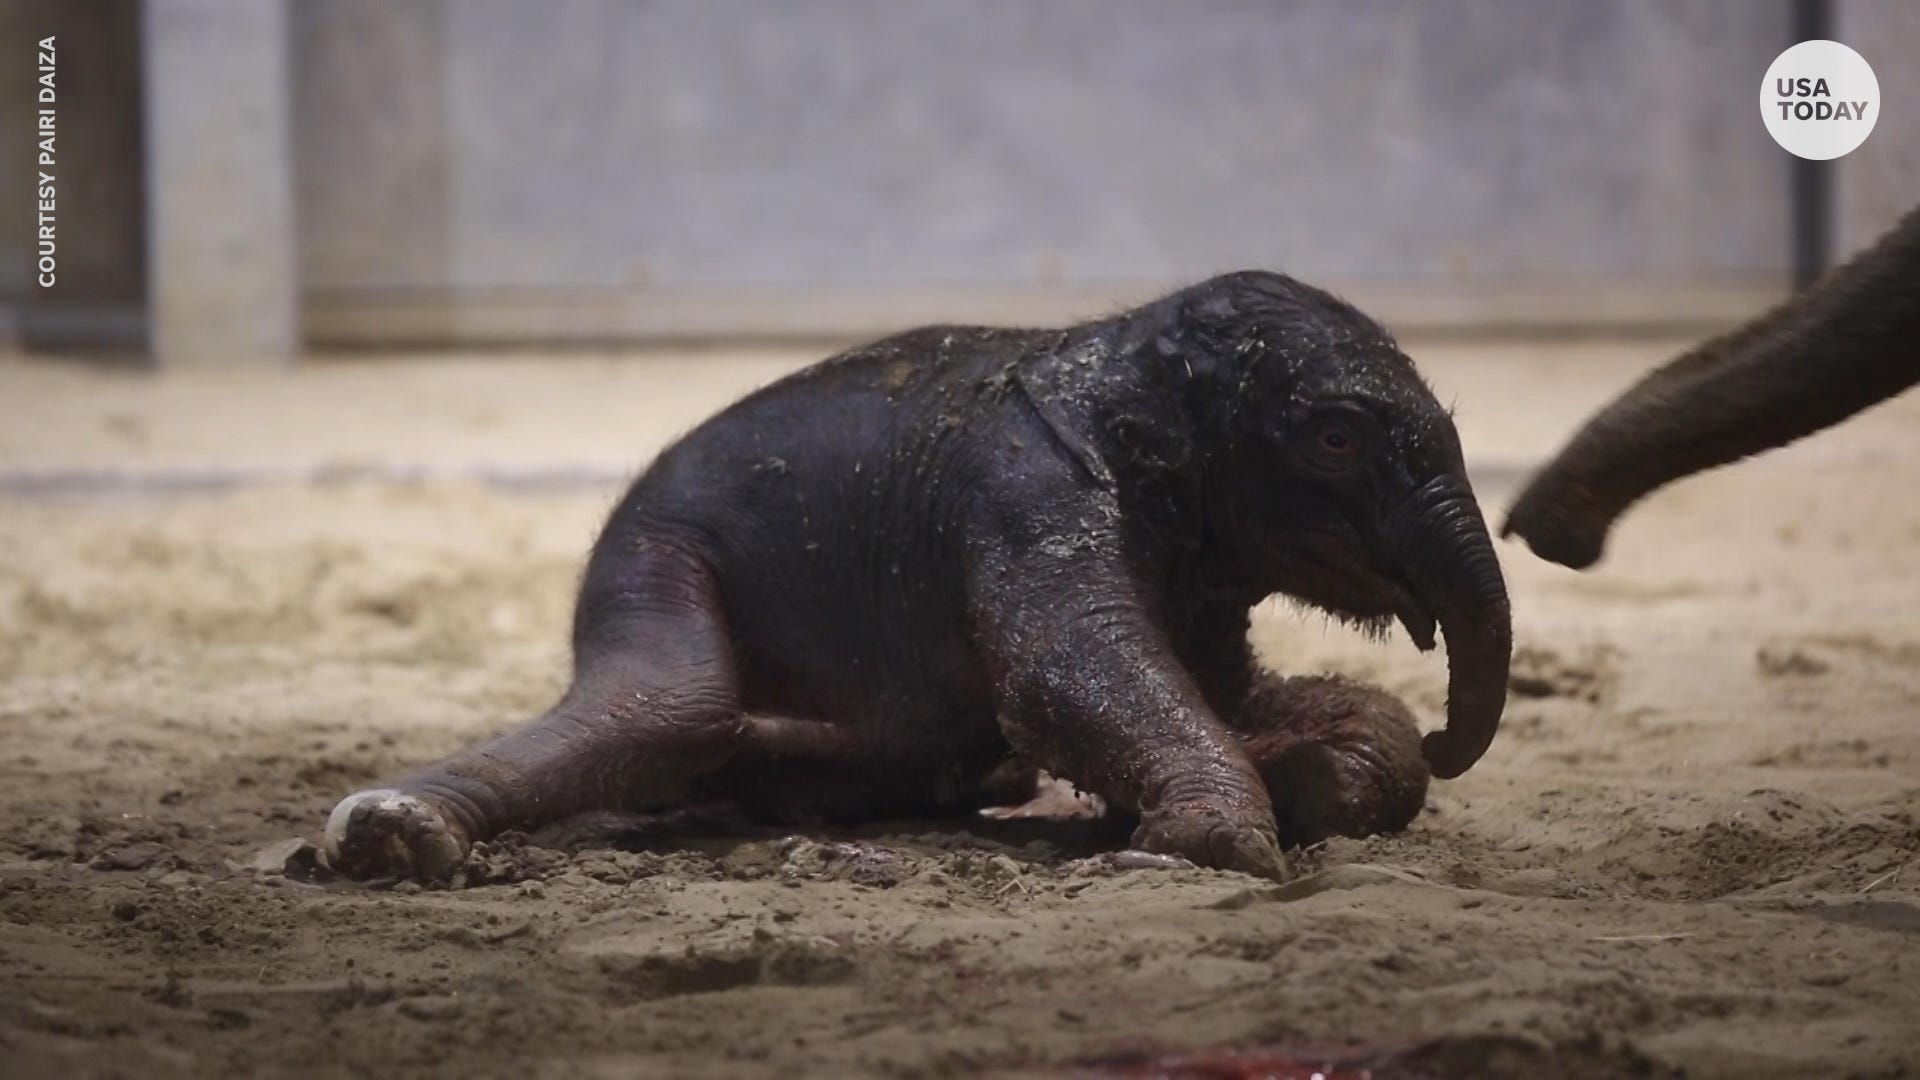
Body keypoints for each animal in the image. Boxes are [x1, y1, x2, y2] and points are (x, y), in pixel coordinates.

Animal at [322, 270, 1505, 883]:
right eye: (1338, 438)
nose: (1456, 736)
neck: (1123, 352)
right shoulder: (1025, 493)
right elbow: (1059, 672)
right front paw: (1205, 847)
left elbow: (1261, 703)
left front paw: (1306, 772)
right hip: (651, 554)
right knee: (669, 706)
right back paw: (386, 836)